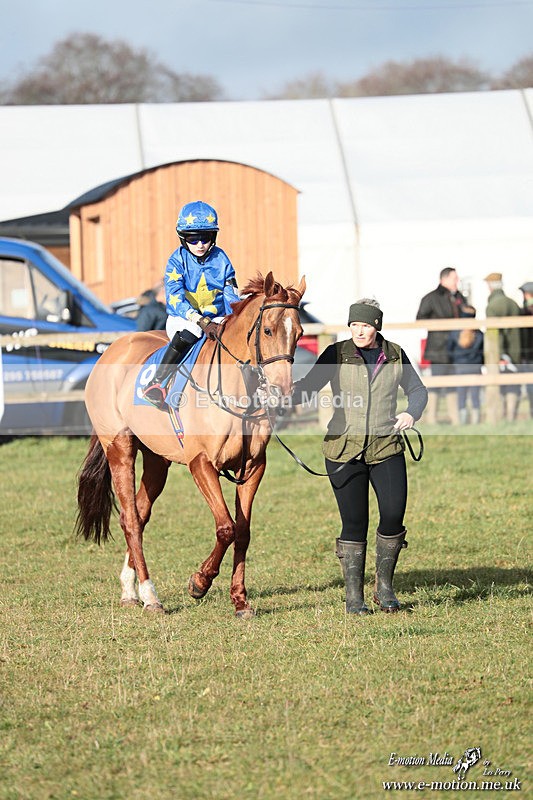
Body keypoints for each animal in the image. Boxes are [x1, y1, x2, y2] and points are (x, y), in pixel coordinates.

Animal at [75, 272, 305, 617]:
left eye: (299, 333)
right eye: (267, 330)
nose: (282, 390)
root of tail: (113, 349)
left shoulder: (253, 468)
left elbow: (242, 531)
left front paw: (240, 600)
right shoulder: (202, 464)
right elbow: (226, 527)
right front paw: (200, 582)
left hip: (157, 461)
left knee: (139, 515)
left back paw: (130, 590)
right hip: (120, 450)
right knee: (130, 519)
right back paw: (150, 595)